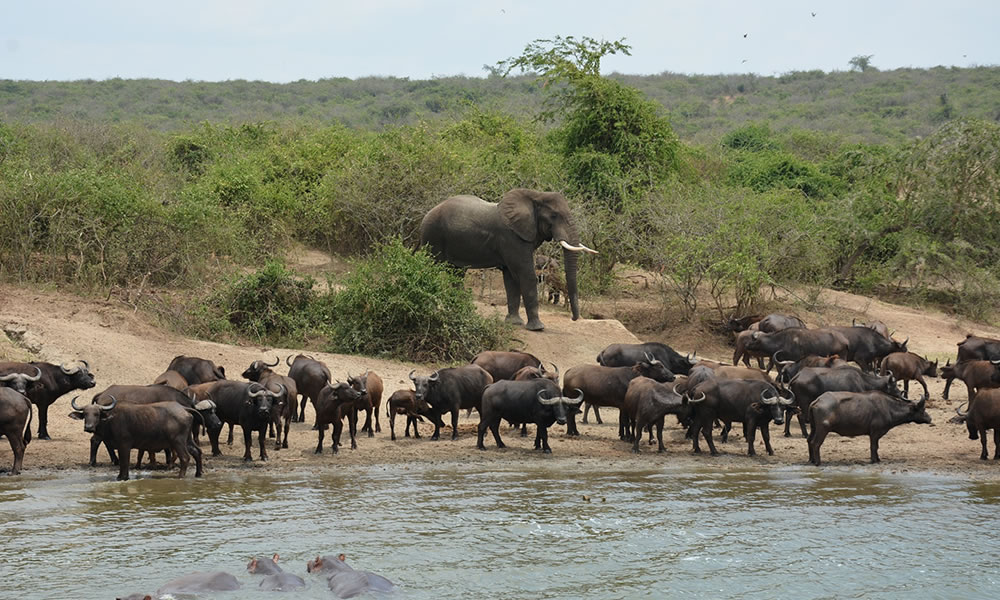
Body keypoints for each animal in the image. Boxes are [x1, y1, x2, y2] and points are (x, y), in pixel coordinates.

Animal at [68, 396, 203, 480]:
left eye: (97, 414)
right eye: (85, 414)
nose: (89, 427)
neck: (110, 420)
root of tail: (183, 408)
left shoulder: (124, 445)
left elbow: (124, 462)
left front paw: (123, 478)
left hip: (177, 441)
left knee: (185, 457)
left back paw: (180, 476)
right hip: (187, 440)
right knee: (197, 452)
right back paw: (198, 474)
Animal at [420, 188, 596, 330]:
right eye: (554, 216)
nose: (573, 318)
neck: (535, 196)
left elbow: (511, 279)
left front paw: (514, 323)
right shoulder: (512, 238)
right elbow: (526, 275)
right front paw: (538, 328)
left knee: (456, 273)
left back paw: (458, 308)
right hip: (432, 236)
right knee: (430, 267)